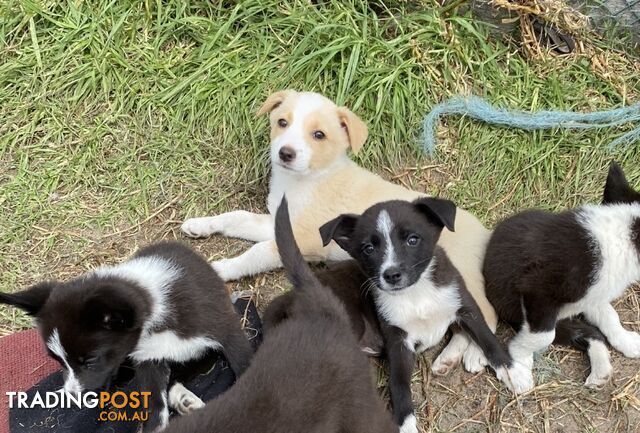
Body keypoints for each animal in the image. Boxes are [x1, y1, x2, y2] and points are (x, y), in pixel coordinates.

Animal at [0, 241, 255, 430]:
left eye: (90, 361)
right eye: (59, 362)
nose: (71, 397)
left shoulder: (227, 330)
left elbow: (246, 368)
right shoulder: (148, 361)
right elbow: (154, 409)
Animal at [180, 90, 496, 374]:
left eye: (319, 135)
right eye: (282, 122)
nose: (285, 153)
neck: (307, 180)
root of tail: (485, 234)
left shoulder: (303, 238)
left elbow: (255, 252)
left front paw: (220, 268)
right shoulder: (277, 221)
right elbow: (237, 217)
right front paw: (200, 225)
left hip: (461, 279)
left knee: (483, 316)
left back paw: (471, 355)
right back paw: (451, 357)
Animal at [320, 198, 524, 432]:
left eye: (412, 240)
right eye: (368, 248)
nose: (391, 275)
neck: (416, 294)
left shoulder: (464, 306)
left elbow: (488, 340)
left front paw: (514, 372)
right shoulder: (397, 340)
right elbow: (398, 383)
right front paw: (406, 424)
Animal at [484, 162, 640, 392]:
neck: (624, 235)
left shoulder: (594, 293)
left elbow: (610, 316)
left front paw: (626, 340)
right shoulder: (538, 290)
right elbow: (543, 336)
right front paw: (519, 359)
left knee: (590, 331)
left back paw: (601, 369)